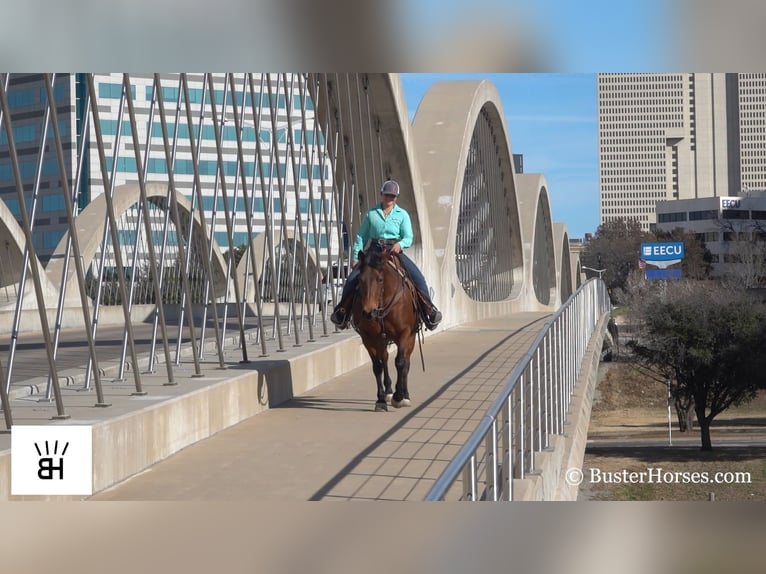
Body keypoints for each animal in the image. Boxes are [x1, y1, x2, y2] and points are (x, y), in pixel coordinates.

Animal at [352, 245, 420, 412]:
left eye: (380, 279)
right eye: (360, 280)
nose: (368, 312)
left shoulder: (405, 333)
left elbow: (400, 362)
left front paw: (399, 396)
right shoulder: (368, 337)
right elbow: (377, 366)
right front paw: (381, 399)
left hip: (410, 338)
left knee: (406, 362)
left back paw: (405, 395)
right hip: (382, 340)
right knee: (385, 359)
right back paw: (389, 391)